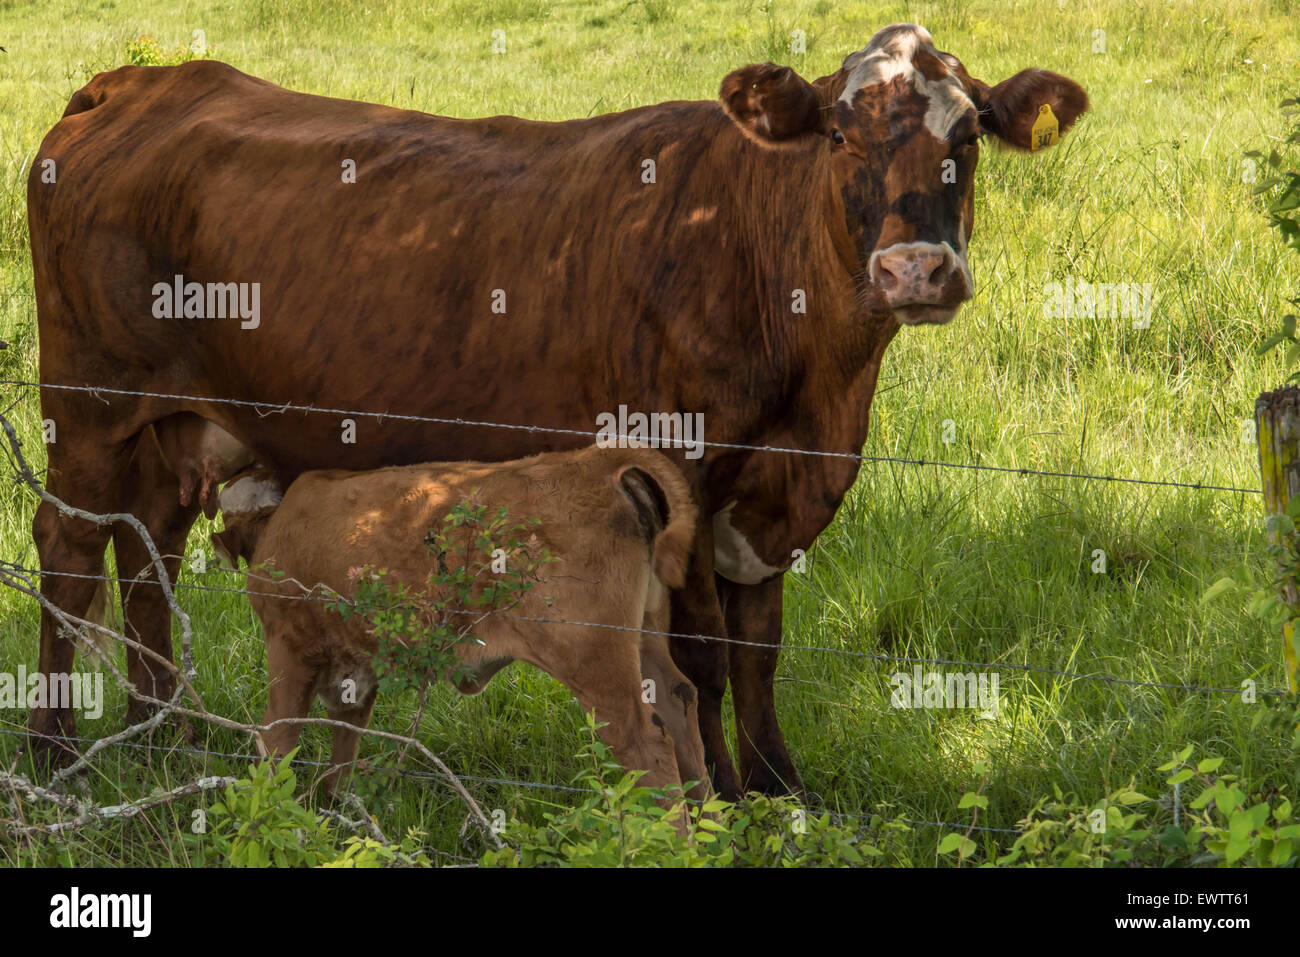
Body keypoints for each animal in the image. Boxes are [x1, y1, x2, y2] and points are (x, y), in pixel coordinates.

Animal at [25, 22, 1087, 797]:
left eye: (969, 136)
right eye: (837, 132)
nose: (915, 270)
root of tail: (141, 82)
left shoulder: (774, 496)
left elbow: (761, 648)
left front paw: (783, 790)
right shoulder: (675, 468)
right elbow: (702, 657)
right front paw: (730, 796)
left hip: (170, 424)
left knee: (149, 553)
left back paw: (164, 735)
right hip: (88, 405)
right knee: (72, 551)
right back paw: (58, 752)